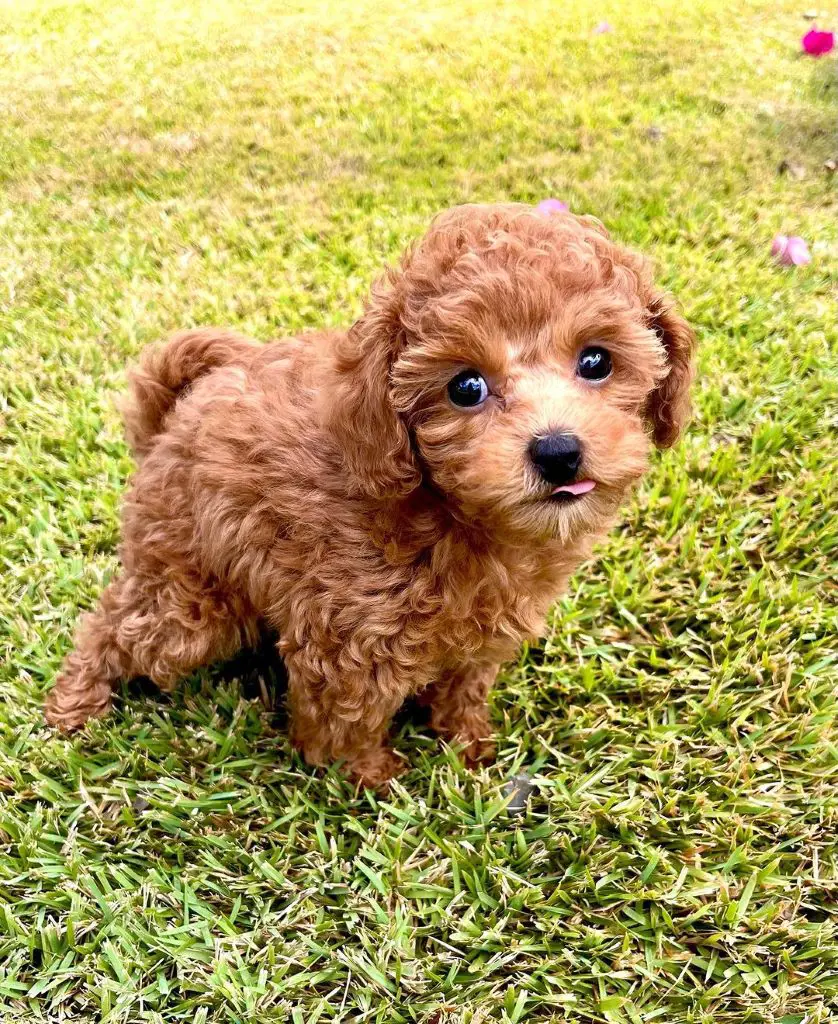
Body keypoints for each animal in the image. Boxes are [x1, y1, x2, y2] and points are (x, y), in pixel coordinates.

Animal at [45, 203, 692, 786]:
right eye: (465, 387)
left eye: (596, 361)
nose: (558, 451)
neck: (452, 514)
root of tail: (173, 414)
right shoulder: (348, 640)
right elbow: (346, 720)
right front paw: (369, 778)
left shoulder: (484, 632)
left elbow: (465, 682)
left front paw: (468, 743)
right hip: (188, 594)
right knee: (113, 626)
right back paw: (74, 704)